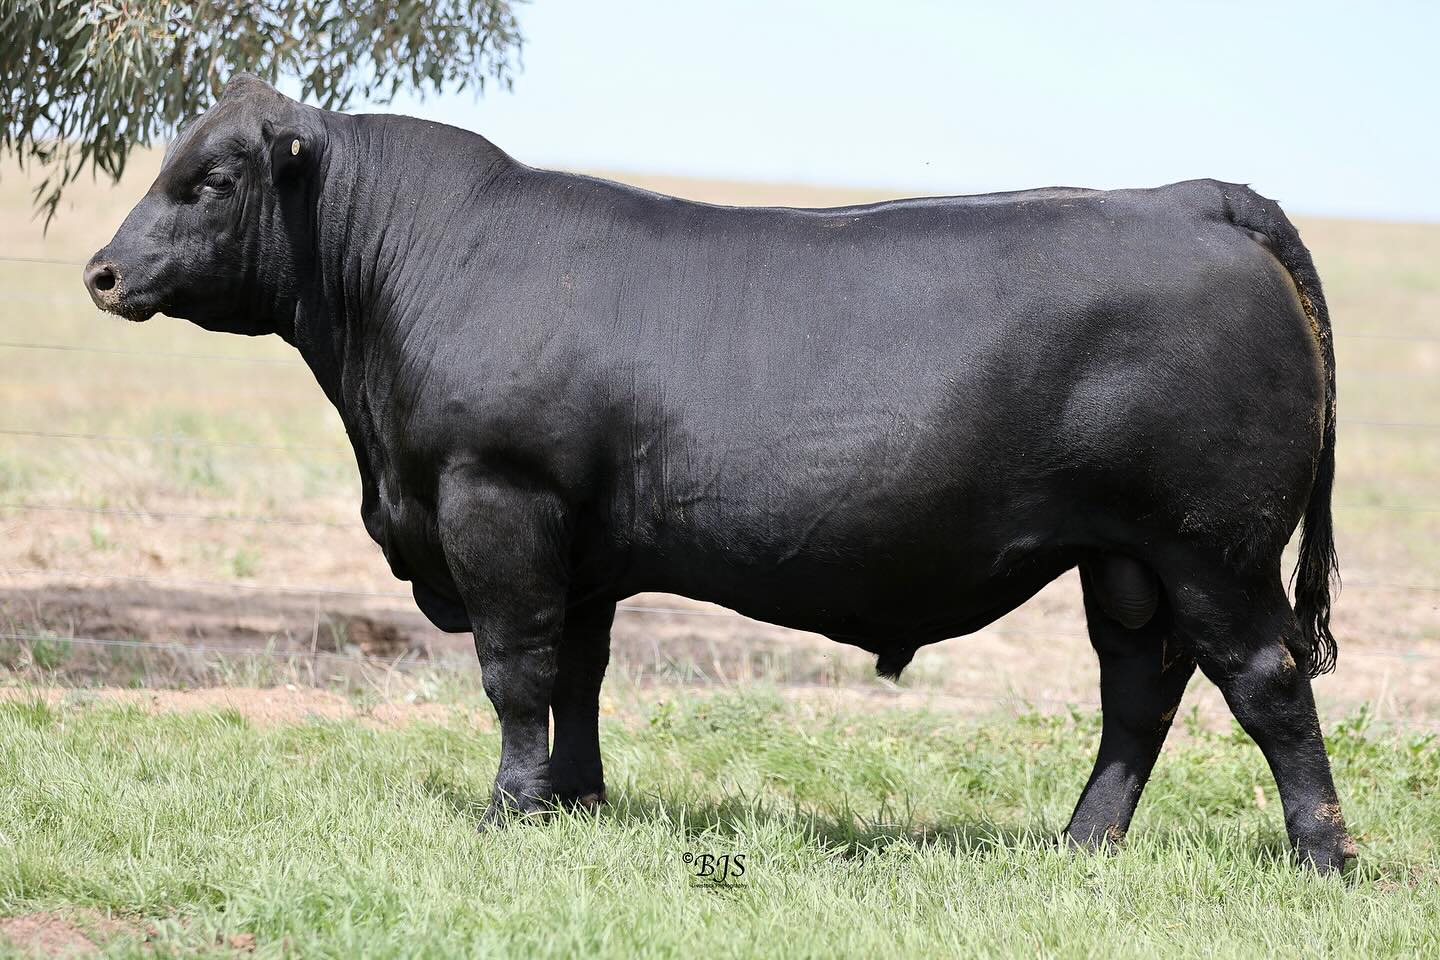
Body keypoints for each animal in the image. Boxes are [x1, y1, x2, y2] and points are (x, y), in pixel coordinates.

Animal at [85, 74, 1352, 871]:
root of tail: (1187, 198)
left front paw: (508, 814)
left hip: (1215, 547)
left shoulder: (499, 504)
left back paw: (1324, 856)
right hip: (1125, 559)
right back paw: (1080, 846)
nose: (100, 272)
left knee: (1266, 681)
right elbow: (580, 673)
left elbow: (514, 674)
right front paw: (577, 801)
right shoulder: (582, 547)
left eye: (211, 180)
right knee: (1140, 691)